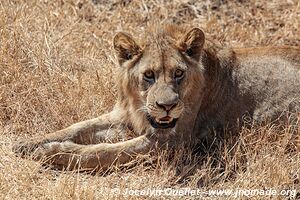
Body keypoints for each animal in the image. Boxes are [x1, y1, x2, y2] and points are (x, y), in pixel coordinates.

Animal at [13, 23, 300, 170]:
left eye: (179, 73)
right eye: (149, 75)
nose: (167, 106)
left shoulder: (171, 141)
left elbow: (106, 151)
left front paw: (52, 153)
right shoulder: (124, 116)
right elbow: (78, 126)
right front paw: (28, 143)